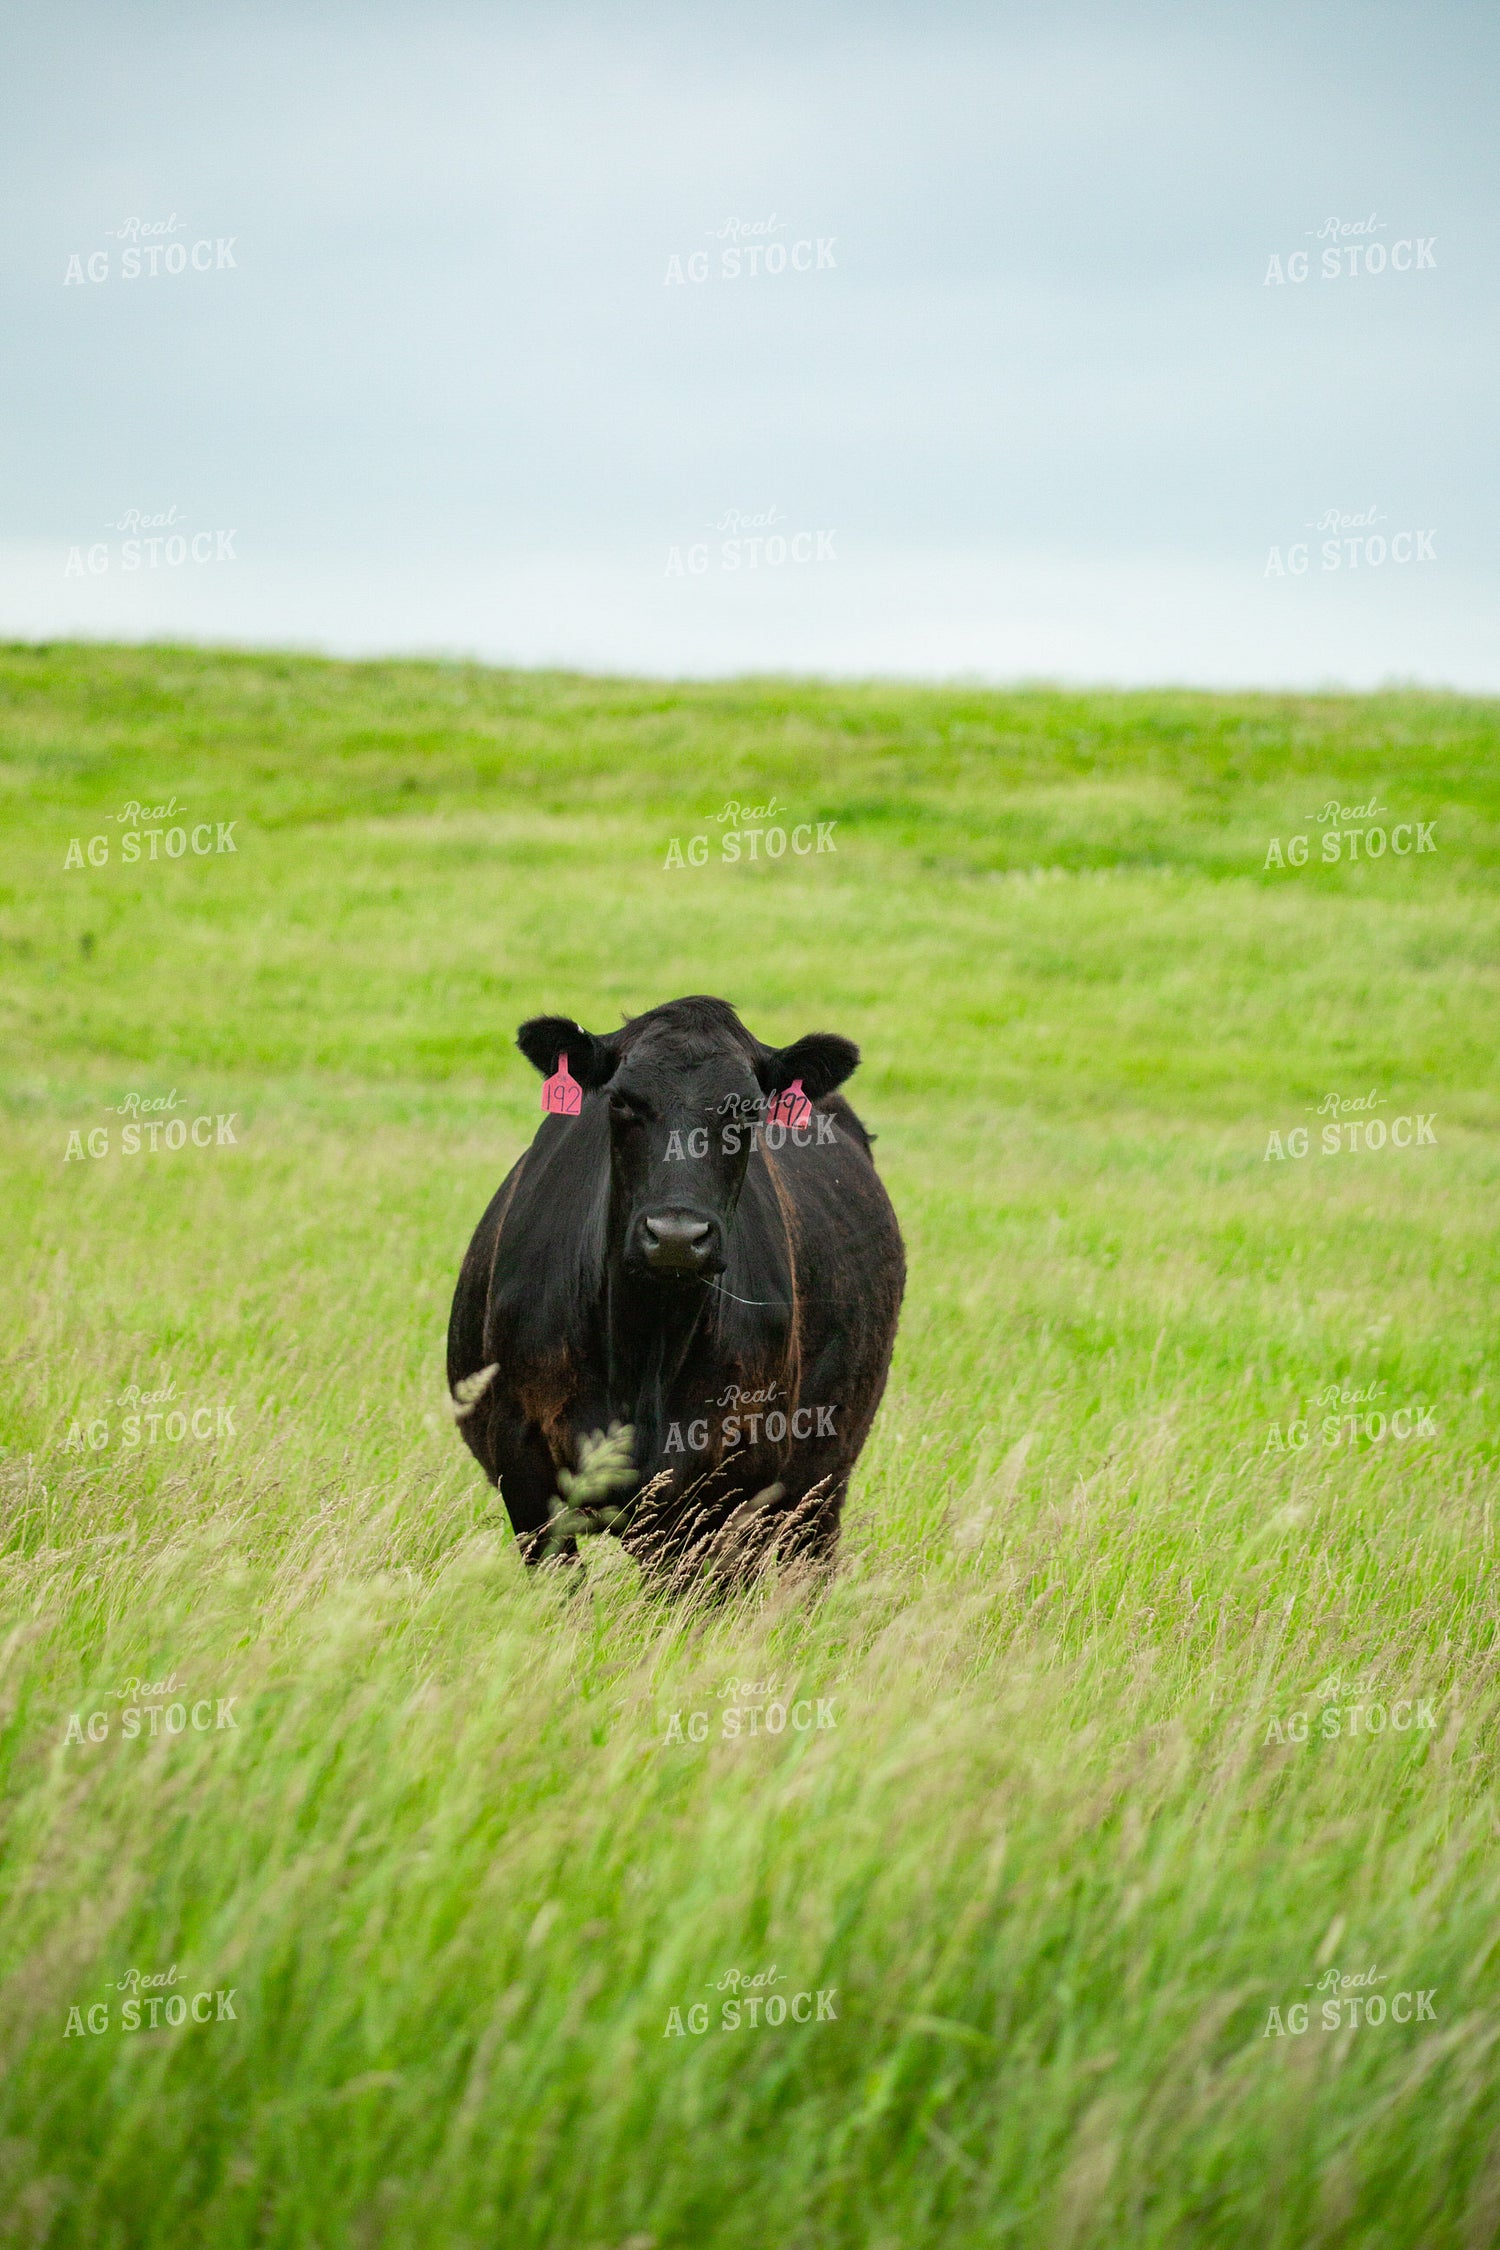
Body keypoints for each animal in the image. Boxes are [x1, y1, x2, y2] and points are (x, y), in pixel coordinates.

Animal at [447, 995, 904, 1588]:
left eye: (746, 1111)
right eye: (621, 1101)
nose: (676, 1236)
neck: (645, 1349)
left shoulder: (733, 1482)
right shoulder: (522, 1468)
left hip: (823, 1480)